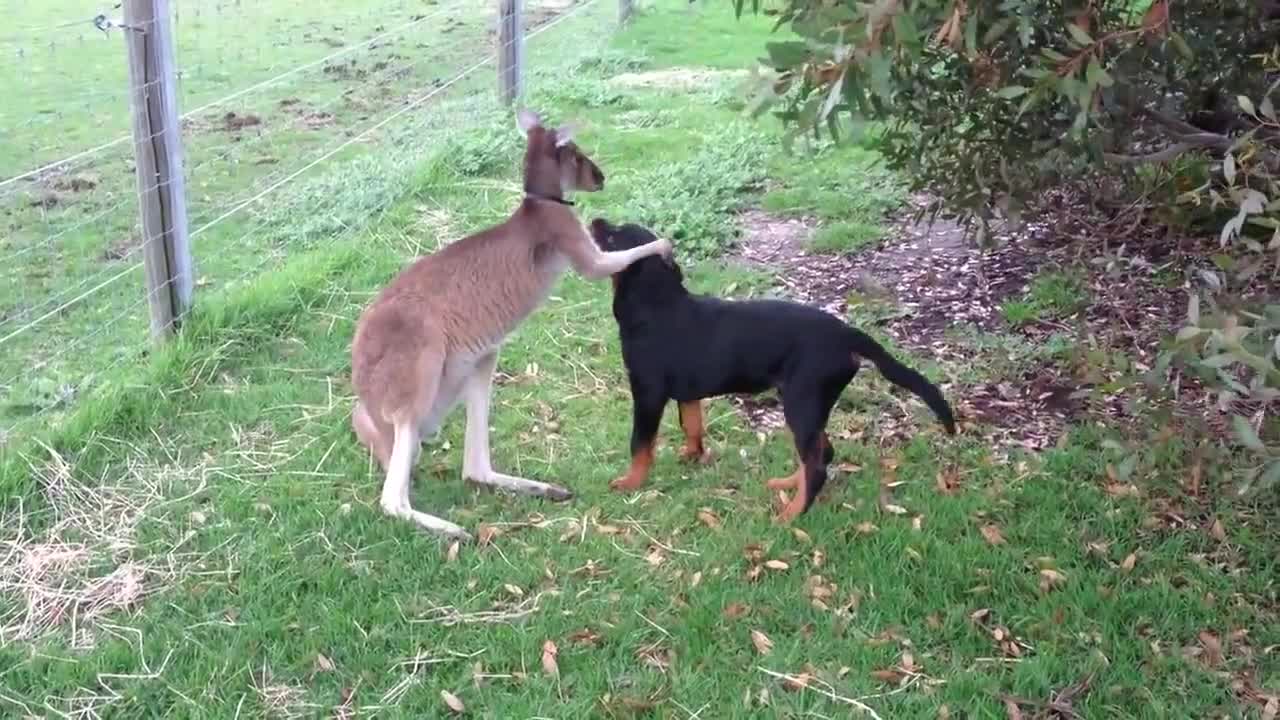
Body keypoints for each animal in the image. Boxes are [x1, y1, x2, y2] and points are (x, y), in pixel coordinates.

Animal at [586, 215, 957, 517]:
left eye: (614, 237)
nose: (595, 218)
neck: (656, 305)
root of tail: (847, 335)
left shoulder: (647, 392)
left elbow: (640, 444)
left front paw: (630, 482)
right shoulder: (687, 392)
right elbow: (691, 425)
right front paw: (692, 456)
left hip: (801, 400)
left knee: (817, 464)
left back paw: (790, 515)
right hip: (811, 404)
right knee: (821, 452)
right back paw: (788, 485)